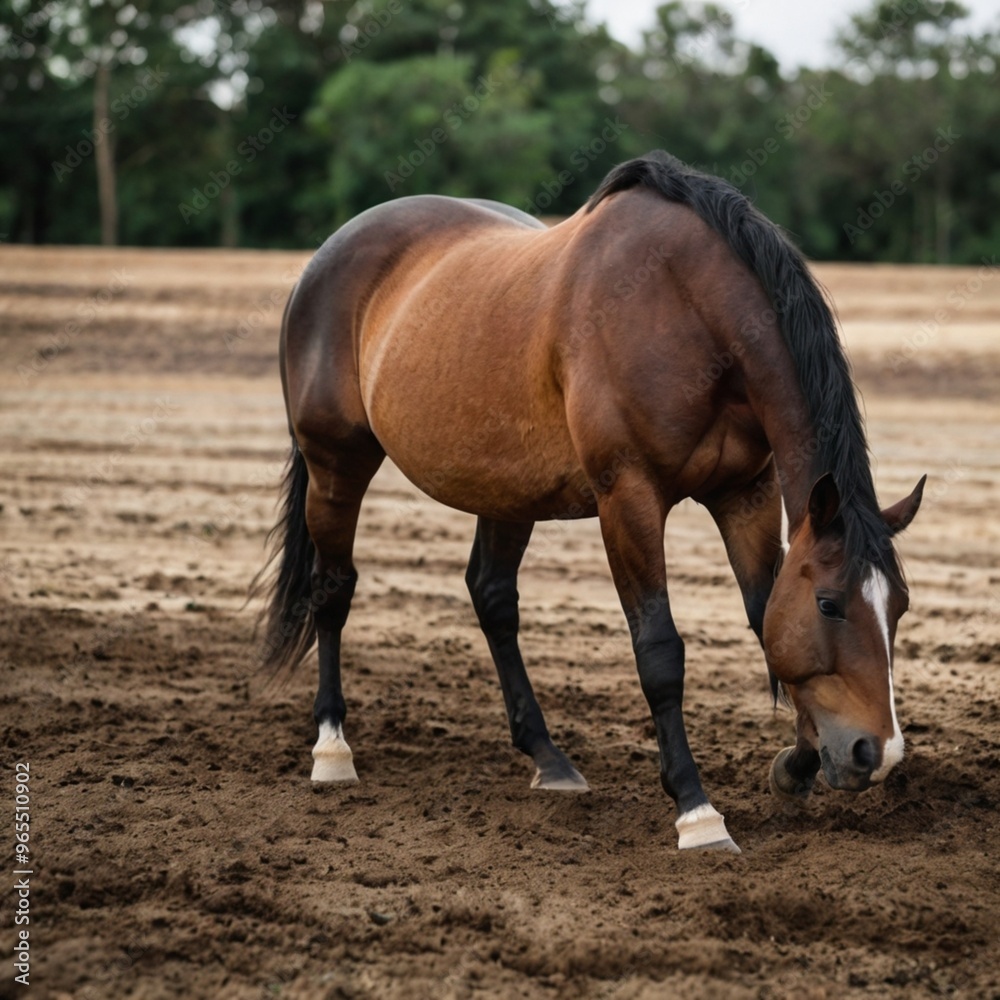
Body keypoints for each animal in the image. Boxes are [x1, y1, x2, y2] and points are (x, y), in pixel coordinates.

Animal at [254, 148, 924, 852]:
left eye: (900, 607)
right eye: (830, 604)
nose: (875, 754)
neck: (686, 309)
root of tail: (323, 260)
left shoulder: (746, 494)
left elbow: (763, 615)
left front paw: (794, 765)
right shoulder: (628, 498)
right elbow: (659, 651)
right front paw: (697, 811)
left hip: (504, 491)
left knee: (492, 598)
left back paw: (547, 757)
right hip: (336, 464)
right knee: (333, 589)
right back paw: (332, 749)